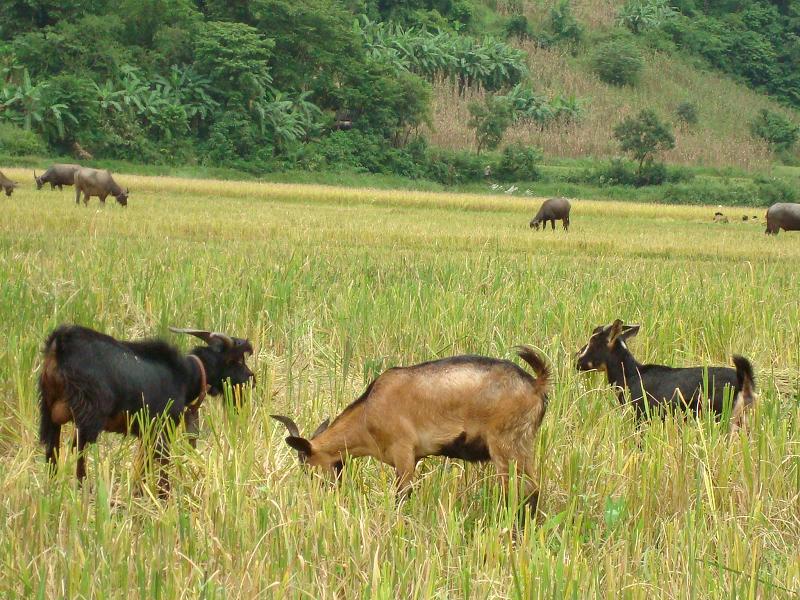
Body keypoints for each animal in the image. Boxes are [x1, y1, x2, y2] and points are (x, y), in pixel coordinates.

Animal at [38, 326, 253, 494]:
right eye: (237, 361)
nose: (252, 379)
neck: (187, 375)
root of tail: (60, 344)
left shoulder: (146, 431)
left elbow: (141, 467)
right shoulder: (162, 428)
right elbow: (162, 466)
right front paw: (164, 498)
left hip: (48, 413)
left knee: (52, 451)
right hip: (88, 416)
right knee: (79, 452)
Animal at [272, 346, 548, 520]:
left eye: (308, 469)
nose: (320, 498)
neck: (367, 412)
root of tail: (536, 384)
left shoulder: (403, 453)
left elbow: (401, 496)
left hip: (506, 446)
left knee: (521, 490)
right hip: (522, 446)